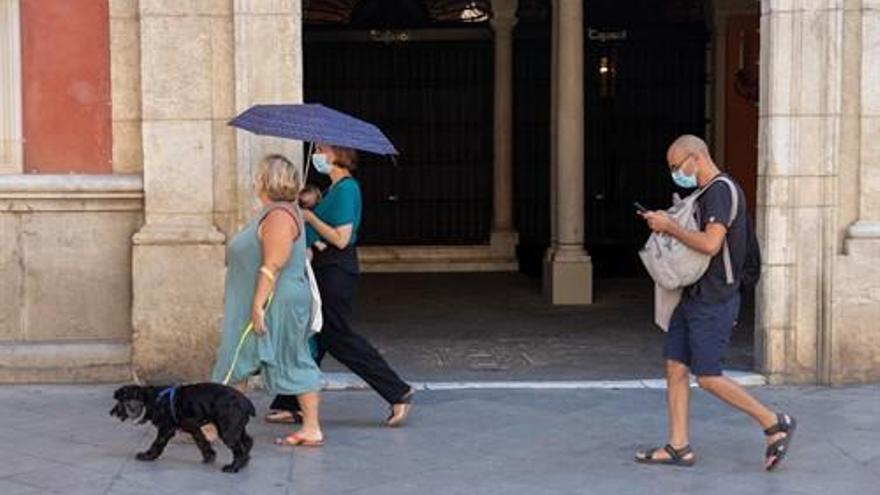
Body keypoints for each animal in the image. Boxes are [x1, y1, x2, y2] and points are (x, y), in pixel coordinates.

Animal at [109, 384, 254, 472]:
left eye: (121, 402)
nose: (111, 413)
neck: (154, 399)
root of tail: (247, 403)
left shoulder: (166, 430)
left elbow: (156, 444)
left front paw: (147, 456)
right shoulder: (193, 428)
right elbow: (202, 442)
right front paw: (209, 456)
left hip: (228, 431)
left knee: (240, 449)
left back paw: (233, 467)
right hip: (237, 428)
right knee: (248, 442)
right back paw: (244, 462)